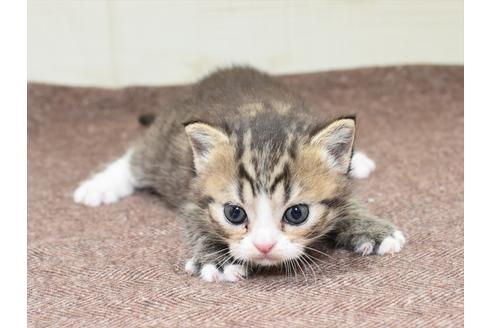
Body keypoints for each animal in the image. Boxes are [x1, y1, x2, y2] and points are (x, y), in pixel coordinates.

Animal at [73, 66, 404, 282]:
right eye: (234, 213)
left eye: (297, 213)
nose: (264, 246)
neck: (263, 115)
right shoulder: (192, 192)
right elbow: (198, 224)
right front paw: (218, 259)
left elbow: (348, 198)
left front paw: (371, 228)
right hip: (162, 149)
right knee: (135, 157)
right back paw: (99, 187)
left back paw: (359, 160)